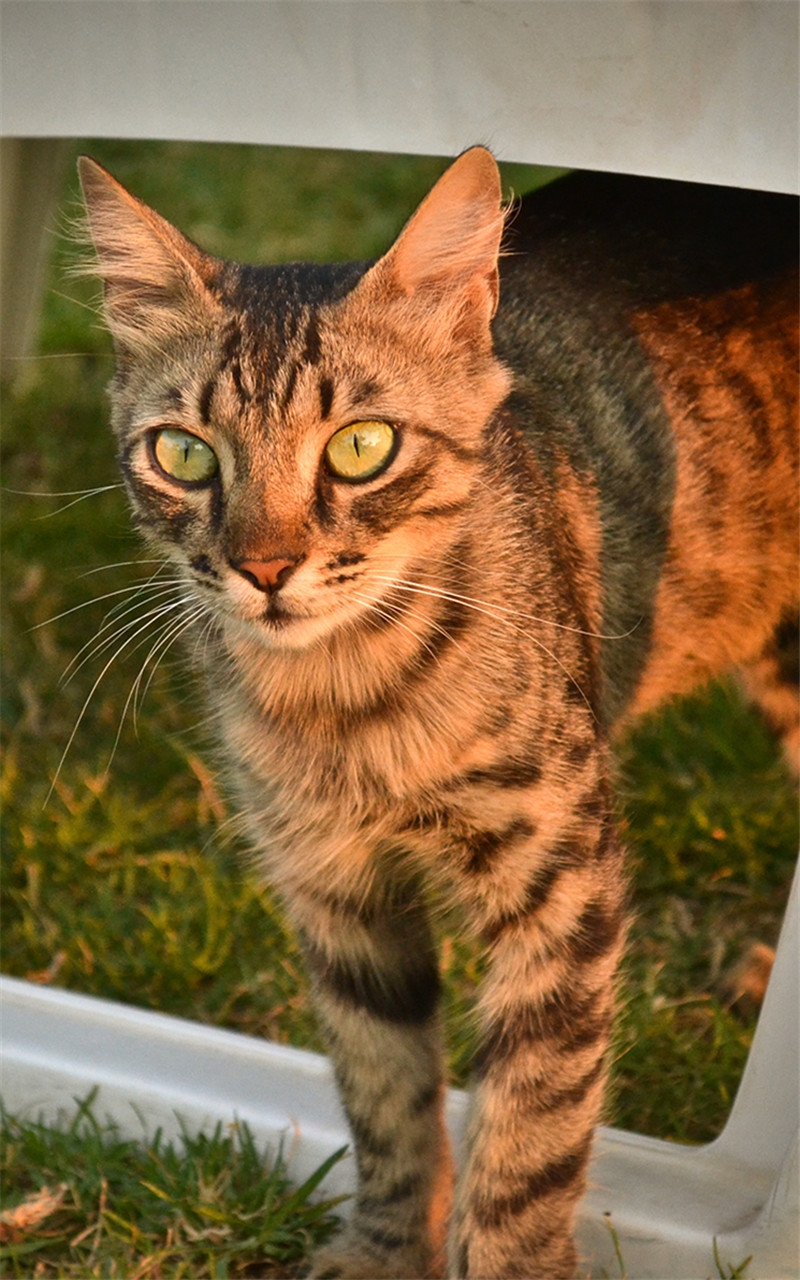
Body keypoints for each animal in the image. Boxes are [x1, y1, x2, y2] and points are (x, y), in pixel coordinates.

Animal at [76, 152, 798, 1280]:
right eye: (185, 455)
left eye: (361, 446)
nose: (265, 568)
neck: (350, 705)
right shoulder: (333, 891)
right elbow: (385, 1094)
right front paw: (384, 1247)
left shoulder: (562, 889)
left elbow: (532, 1133)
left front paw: (507, 1258)